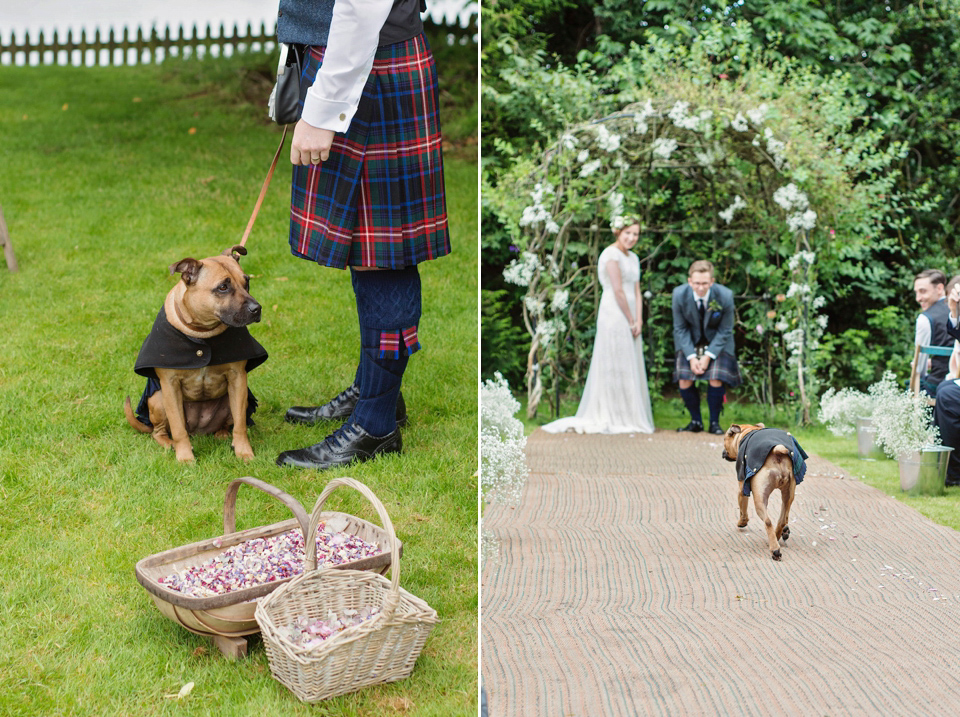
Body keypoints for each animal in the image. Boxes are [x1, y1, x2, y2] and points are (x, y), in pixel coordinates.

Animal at [124, 245, 268, 464]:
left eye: (247, 282)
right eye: (223, 287)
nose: (257, 309)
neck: (202, 333)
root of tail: (199, 431)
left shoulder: (238, 379)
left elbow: (241, 425)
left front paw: (244, 451)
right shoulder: (170, 385)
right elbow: (178, 428)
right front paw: (185, 457)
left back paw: (222, 434)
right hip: (158, 399)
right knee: (159, 431)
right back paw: (169, 443)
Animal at [724, 422, 808, 564]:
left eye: (724, 439)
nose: (723, 452)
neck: (749, 430)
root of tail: (777, 451)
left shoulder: (741, 487)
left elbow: (743, 509)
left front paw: (742, 522)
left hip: (760, 498)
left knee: (768, 521)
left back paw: (775, 550)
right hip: (788, 495)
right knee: (783, 519)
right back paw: (778, 534)